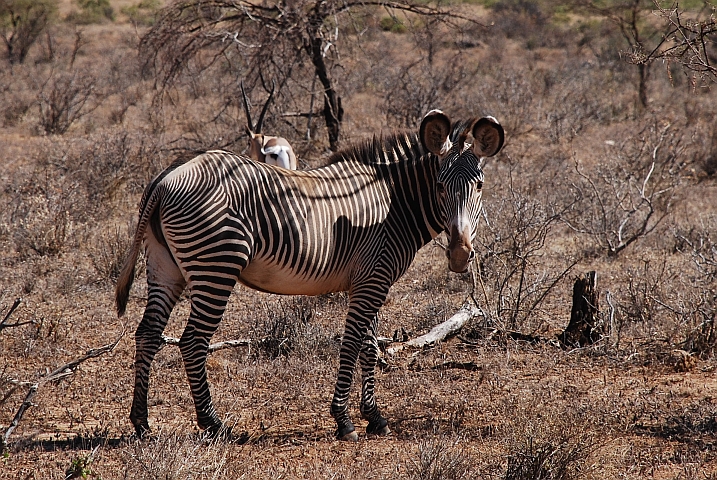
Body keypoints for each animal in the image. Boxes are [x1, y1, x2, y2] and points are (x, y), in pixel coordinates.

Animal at [115, 109, 504, 441]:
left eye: (480, 185)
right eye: (439, 186)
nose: (459, 255)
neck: (395, 205)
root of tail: (166, 178)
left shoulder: (370, 280)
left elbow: (369, 346)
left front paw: (374, 417)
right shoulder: (373, 280)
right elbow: (352, 344)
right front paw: (344, 421)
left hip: (165, 267)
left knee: (147, 334)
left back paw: (141, 423)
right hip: (216, 265)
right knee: (193, 341)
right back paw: (214, 424)